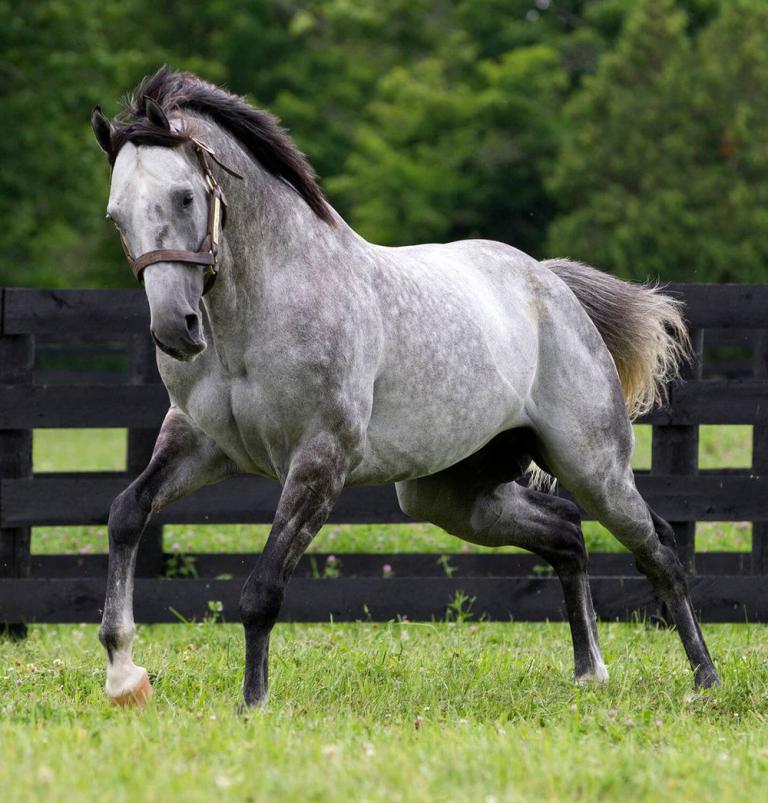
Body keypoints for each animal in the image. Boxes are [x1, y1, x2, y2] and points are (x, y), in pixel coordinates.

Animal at [90, 67, 719, 709]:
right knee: (566, 533)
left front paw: (253, 704)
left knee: (659, 548)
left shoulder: (319, 462)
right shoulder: (200, 443)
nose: (176, 328)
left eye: (185, 196)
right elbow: (126, 513)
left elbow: (262, 590)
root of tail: (550, 283)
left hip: (594, 468)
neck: (262, 308)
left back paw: (705, 680)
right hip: (451, 497)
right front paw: (124, 675)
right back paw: (590, 671)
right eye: (117, 216)